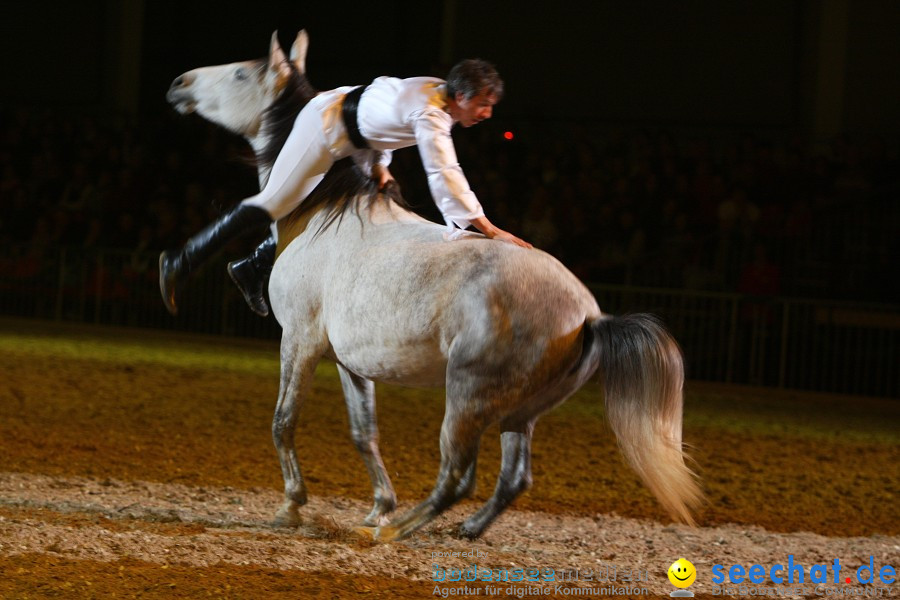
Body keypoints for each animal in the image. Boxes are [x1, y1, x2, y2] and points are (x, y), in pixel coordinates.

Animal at [167, 30, 704, 540]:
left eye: (241, 72)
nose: (180, 84)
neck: (321, 212)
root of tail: (591, 315)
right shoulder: (349, 360)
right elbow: (363, 432)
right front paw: (378, 504)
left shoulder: (300, 339)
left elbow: (284, 420)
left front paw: (294, 506)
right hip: (521, 412)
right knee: (514, 477)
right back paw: (460, 529)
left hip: (468, 396)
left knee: (458, 476)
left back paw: (395, 531)